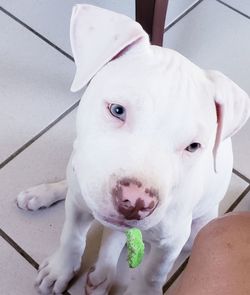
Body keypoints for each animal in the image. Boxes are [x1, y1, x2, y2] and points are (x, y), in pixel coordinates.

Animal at [16, 4, 249, 295]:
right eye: (117, 110)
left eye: (194, 146)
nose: (136, 203)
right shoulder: (78, 204)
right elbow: (72, 237)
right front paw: (61, 268)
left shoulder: (171, 242)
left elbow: (152, 273)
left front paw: (144, 290)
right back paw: (42, 195)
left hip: (198, 230)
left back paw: (102, 274)